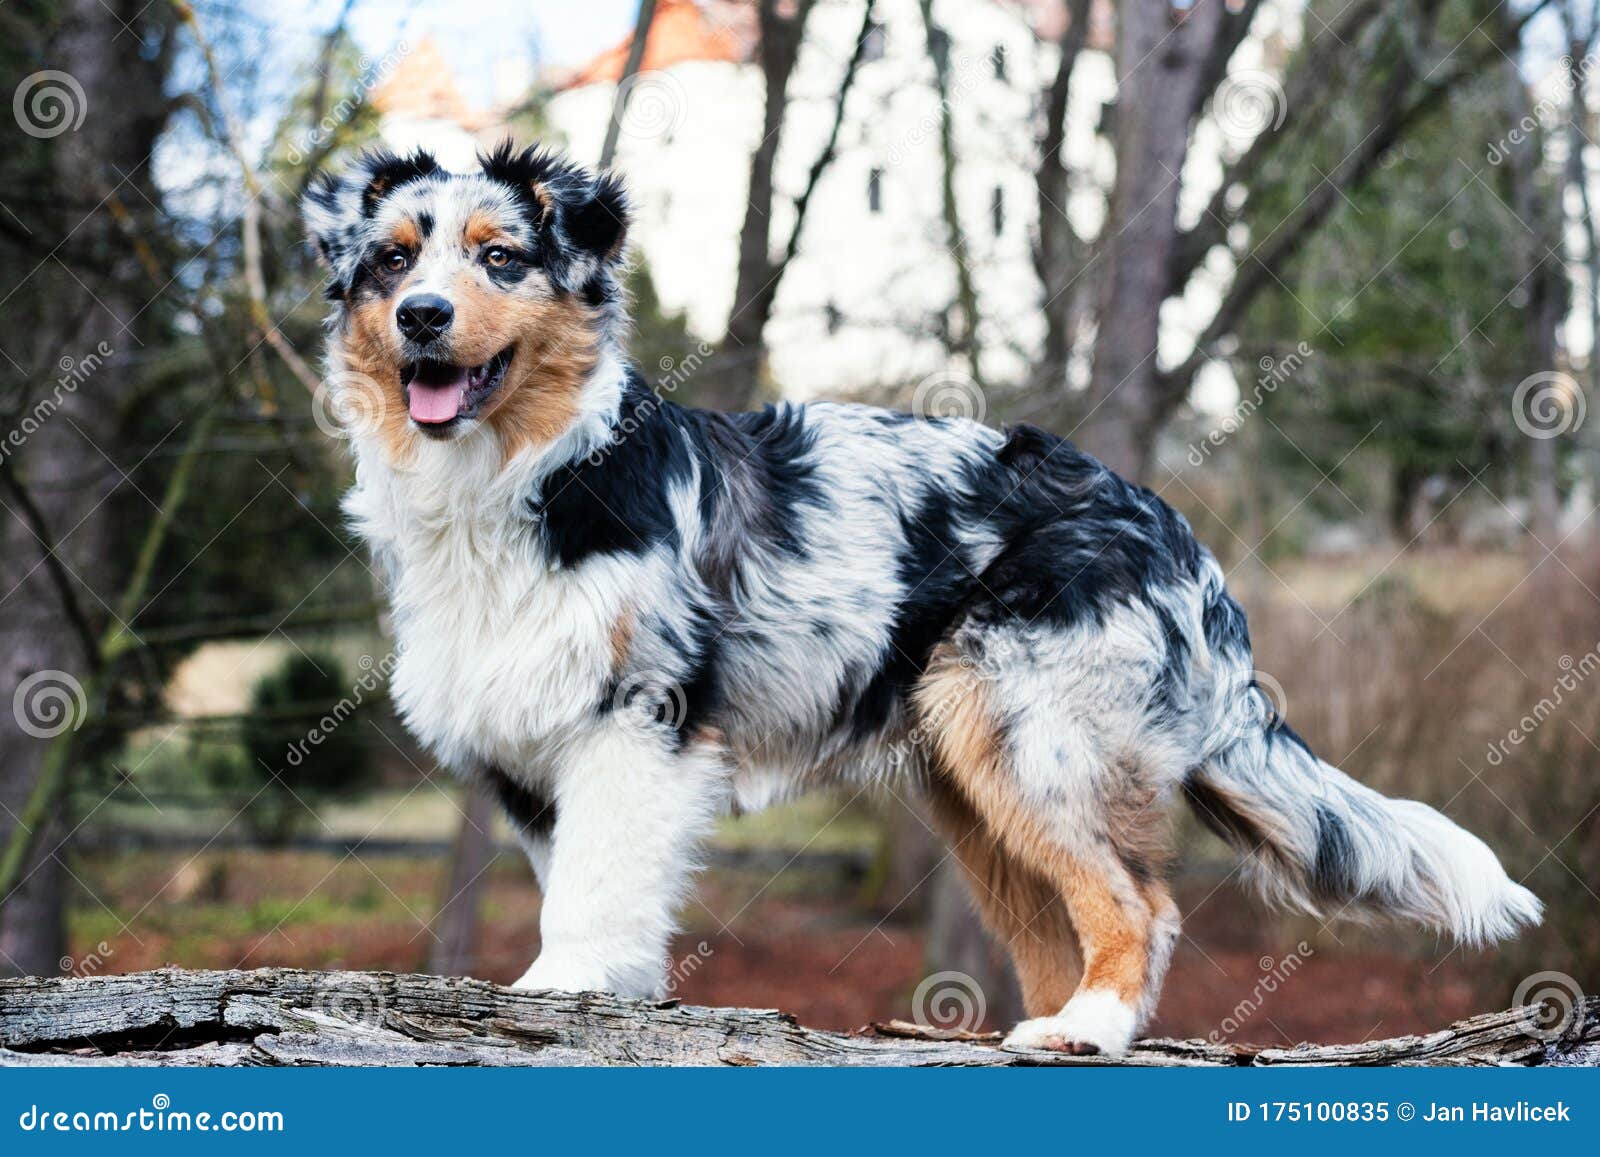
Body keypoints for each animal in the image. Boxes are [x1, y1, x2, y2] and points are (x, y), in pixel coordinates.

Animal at [300, 144, 1536, 1056]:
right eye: (393, 259)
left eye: (501, 257)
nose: (421, 315)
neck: (520, 478)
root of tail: (1174, 528)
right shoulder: (531, 747)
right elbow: (596, 880)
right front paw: (619, 994)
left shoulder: (636, 715)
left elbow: (593, 885)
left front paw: (562, 988)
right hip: (975, 782)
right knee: (1063, 927)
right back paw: (1043, 1029)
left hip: (1037, 737)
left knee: (1141, 905)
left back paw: (1088, 1028)